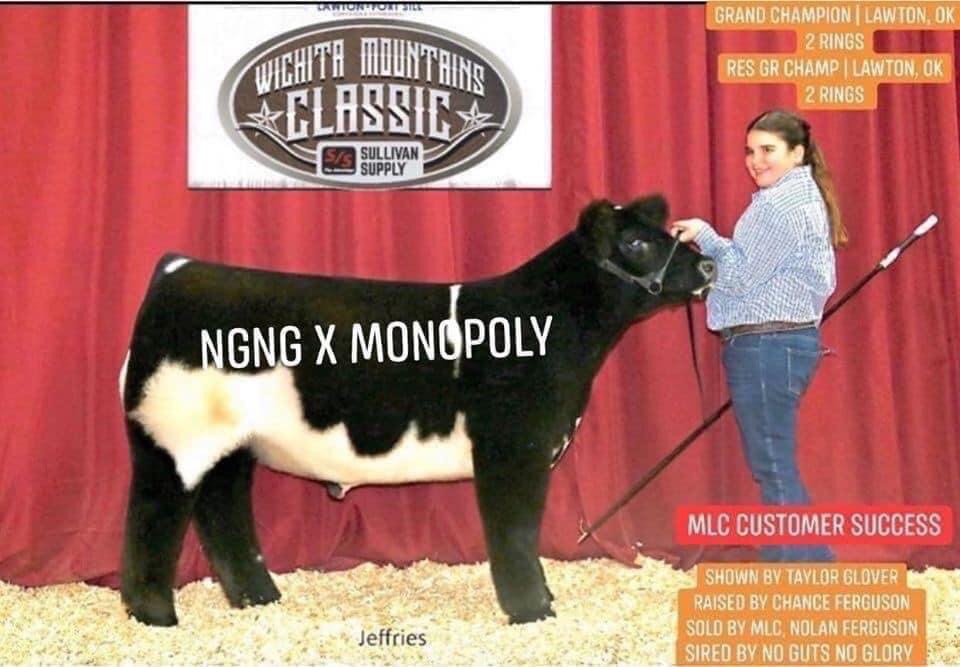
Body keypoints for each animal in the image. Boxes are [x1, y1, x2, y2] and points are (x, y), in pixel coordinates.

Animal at [118, 194, 715, 627]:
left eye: (667, 234)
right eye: (636, 242)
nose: (708, 263)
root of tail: (178, 270)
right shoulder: (510, 449)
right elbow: (516, 534)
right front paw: (533, 610)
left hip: (233, 445)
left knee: (223, 511)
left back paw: (259, 598)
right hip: (171, 436)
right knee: (154, 517)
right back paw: (155, 614)